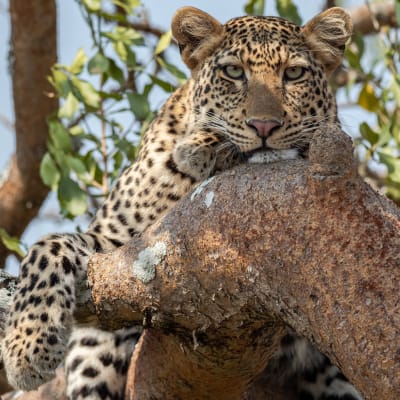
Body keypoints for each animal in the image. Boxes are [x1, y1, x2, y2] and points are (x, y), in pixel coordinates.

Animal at [1, 6, 360, 400]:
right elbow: (48, 247)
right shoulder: (112, 245)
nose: (263, 126)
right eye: (234, 72)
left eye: (294, 74)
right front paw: (26, 347)